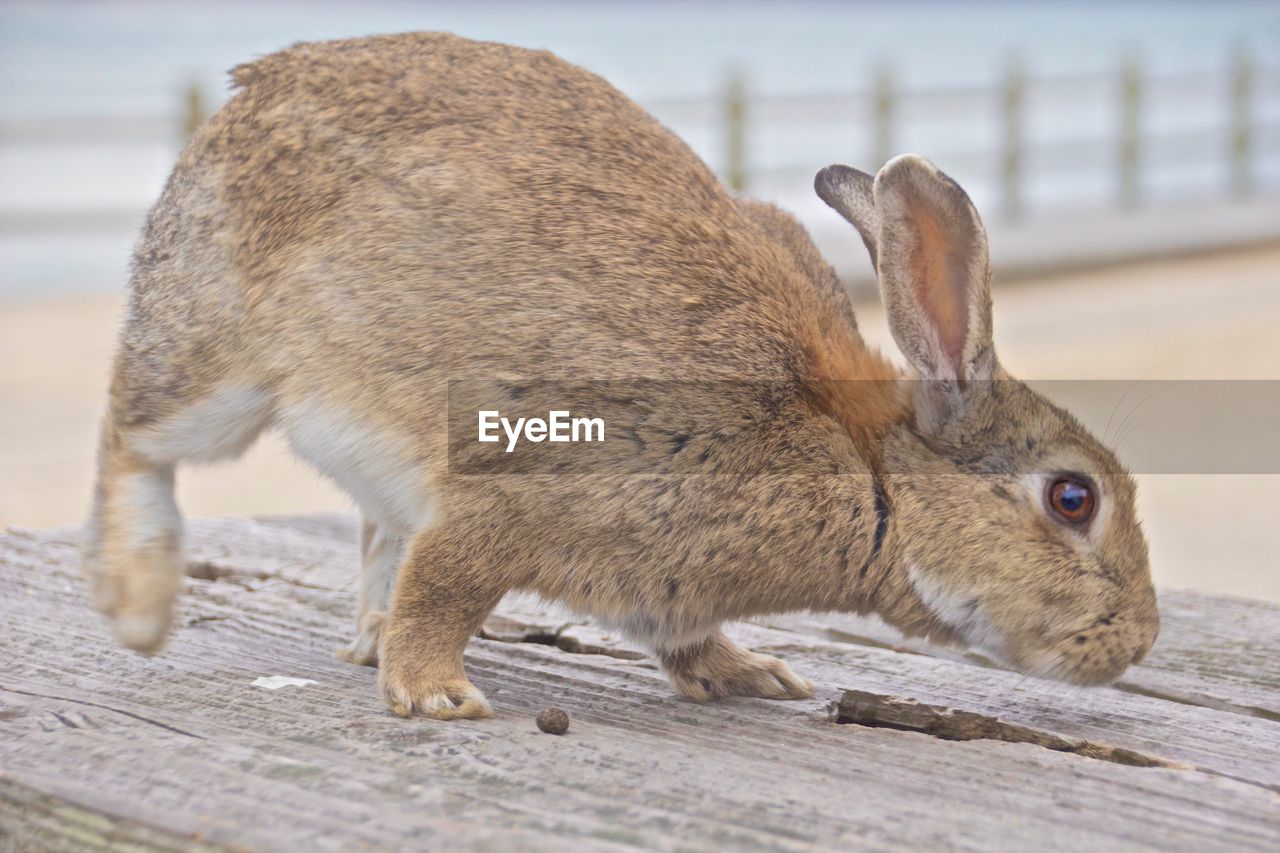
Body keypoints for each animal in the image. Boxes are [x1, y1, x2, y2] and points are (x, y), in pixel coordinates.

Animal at [85, 31, 1157, 717]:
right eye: (1072, 497)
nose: (1141, 639)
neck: (867, 468)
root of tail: (246, 95)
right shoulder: (519, 495)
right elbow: (449, 586)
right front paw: (435, 694)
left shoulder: (662, 579)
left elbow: (679, 636)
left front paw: (750, 675)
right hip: (218, 362)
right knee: (132, 434)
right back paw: (140, 606)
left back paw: (360, 632)